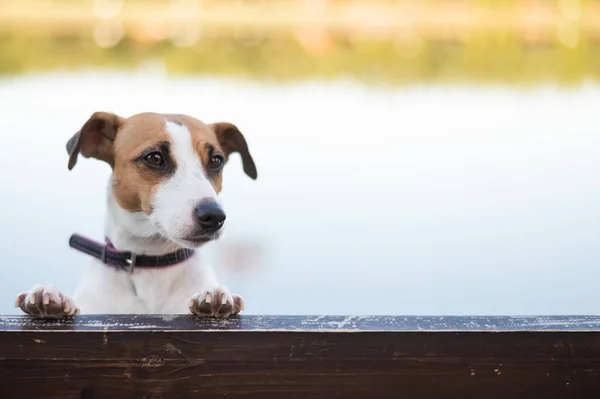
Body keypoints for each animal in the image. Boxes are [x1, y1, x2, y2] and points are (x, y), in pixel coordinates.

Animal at [12, 112, 255, 318]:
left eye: (216, 161)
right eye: (154, 157)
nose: (214, 216)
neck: (150, 265)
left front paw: (215, 296)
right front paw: (50, 296)